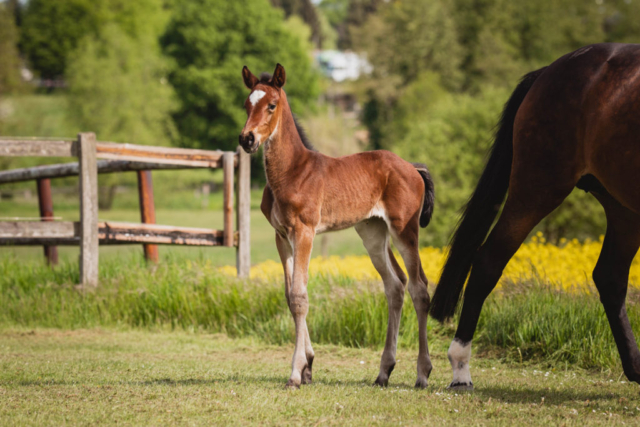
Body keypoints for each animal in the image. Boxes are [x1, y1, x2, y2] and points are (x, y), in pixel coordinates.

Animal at [238, 64, 438, 392]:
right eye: (246, 104)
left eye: (271, 105)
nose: (247, 139)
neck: (292, 171)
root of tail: (412, 167)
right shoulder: (282, 237)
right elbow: (290, 294)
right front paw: (308, 366)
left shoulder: (305, 231)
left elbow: (300, 296)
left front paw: (295, 374)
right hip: (372, 233)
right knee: (395, 285)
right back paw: (384, 372)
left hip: (404, 230)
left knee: (419, 287)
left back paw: (422, 373)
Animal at [430, 43, 640, 392]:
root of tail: (548, 71)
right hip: (538, 188)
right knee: (487, 262)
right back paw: (460, 369)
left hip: (622, 207)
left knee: (610, 277)